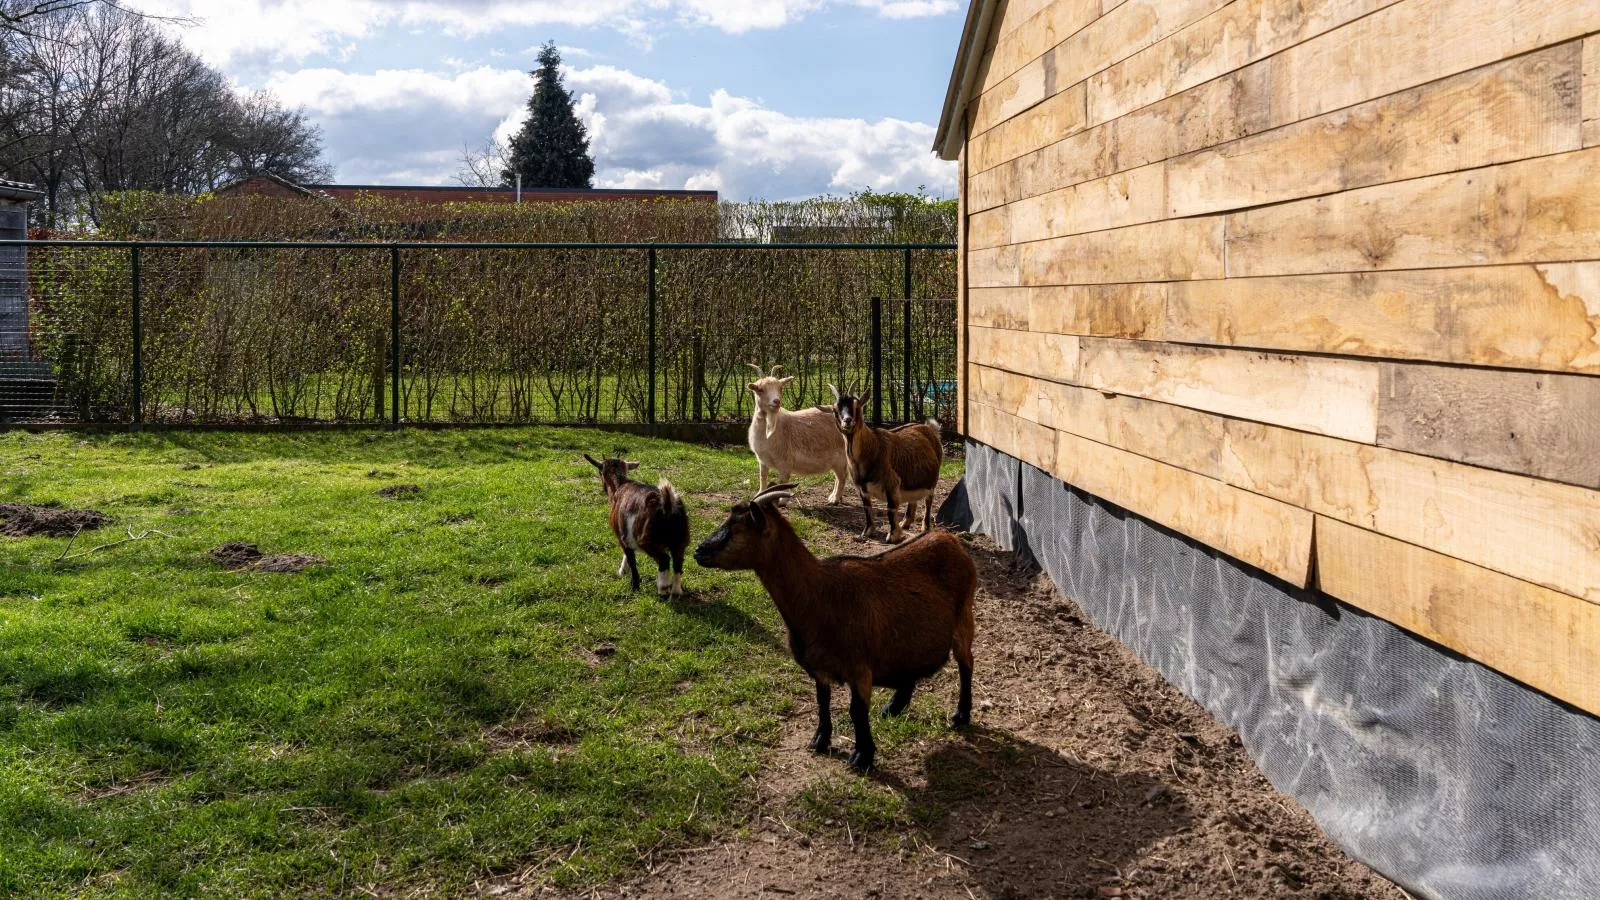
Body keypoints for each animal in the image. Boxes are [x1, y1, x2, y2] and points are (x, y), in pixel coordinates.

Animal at [588, 454, 688, 595]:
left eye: (600, 472)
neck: (620, 484)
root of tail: (667, 503)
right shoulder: (627, 536)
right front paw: (623, 572)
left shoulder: (622, 536)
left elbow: (631, 560)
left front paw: (634, 586)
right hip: (680, 540)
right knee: (678, 562)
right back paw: (676, 591)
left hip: (647, 540)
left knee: (664, 560)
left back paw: (663, 588)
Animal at [697, 483, 979, 771]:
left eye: (737, 528)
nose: (699, 551)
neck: (820, 596)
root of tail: (949, 538)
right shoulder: (818, 669)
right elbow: (823, 702)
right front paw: (820, 740)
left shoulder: (860, 670)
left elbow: (857, 711)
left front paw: (862, 756)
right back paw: (893, 707)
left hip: (964, 618)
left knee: (966, 663)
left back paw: (961, 714)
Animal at [745, 365, 851, 506]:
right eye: (760, 389)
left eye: (780, 388)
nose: (776, 401)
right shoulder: (762, 460)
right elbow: (763, 478)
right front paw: (759, 495)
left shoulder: (785, 461)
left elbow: (783, 482)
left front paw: (782, 501)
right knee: (838, 477)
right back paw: (833, 497)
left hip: (841, 458)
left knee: (842, 477)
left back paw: (834, 499)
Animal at [832, 384, 940, 538]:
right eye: (835, 409)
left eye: (856, 406)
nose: (847, 420)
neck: (872, 447)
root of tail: (929, 428)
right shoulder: (861, 488)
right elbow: (867, 508)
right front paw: (867, 532)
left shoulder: (892, 483)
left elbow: (891, 509)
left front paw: (893, 535)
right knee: (913, 499)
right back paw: (905, 522)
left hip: (932, 480)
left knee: (929, 500)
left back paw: (925, 527)